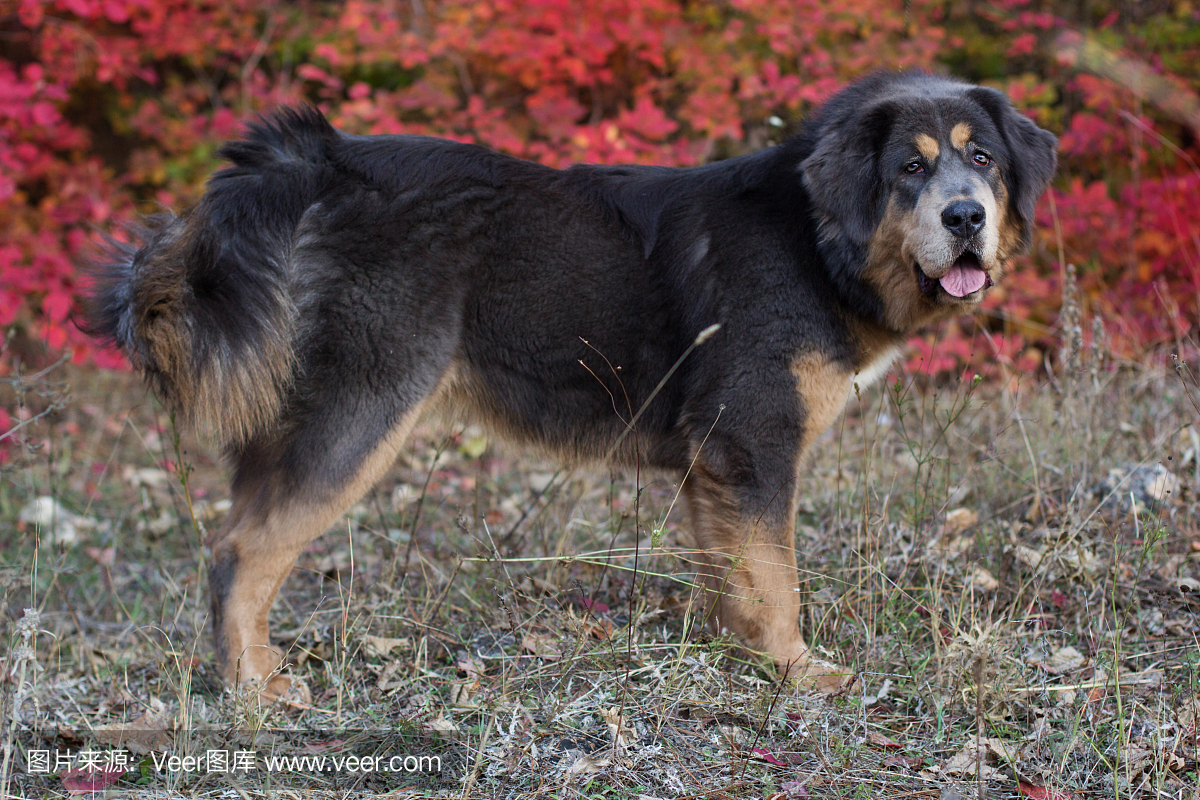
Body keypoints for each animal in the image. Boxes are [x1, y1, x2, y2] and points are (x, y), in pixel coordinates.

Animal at [84, 71, 1056, 700]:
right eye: (911, 170)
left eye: (983, 160)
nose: (965, 217)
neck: (816, 238)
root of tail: (317, 165)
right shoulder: (753, 443)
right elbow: (778, 578)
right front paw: (799, 673)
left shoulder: (714, 464)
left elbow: (737, 576)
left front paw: (748, 660)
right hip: (357, 417)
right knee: (242, 554)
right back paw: (252, 692)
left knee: (235, 541)